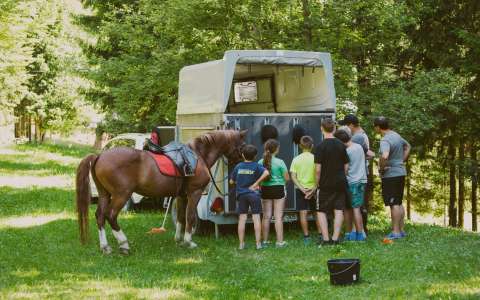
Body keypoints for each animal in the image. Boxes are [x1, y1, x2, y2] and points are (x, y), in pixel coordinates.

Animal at [77, 130, 248, 254]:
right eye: (242, 144)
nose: (246, 159)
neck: (198, 155)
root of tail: (100, 156)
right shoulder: (195, 193)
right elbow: (190, 217)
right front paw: (189, 242)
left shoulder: (181, 196)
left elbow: (181, 217)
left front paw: (178, 240)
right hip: (121, 195)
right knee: (111, 216)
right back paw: (124, 244)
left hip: (104, 194)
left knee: (100, 216)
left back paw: (105, 247)